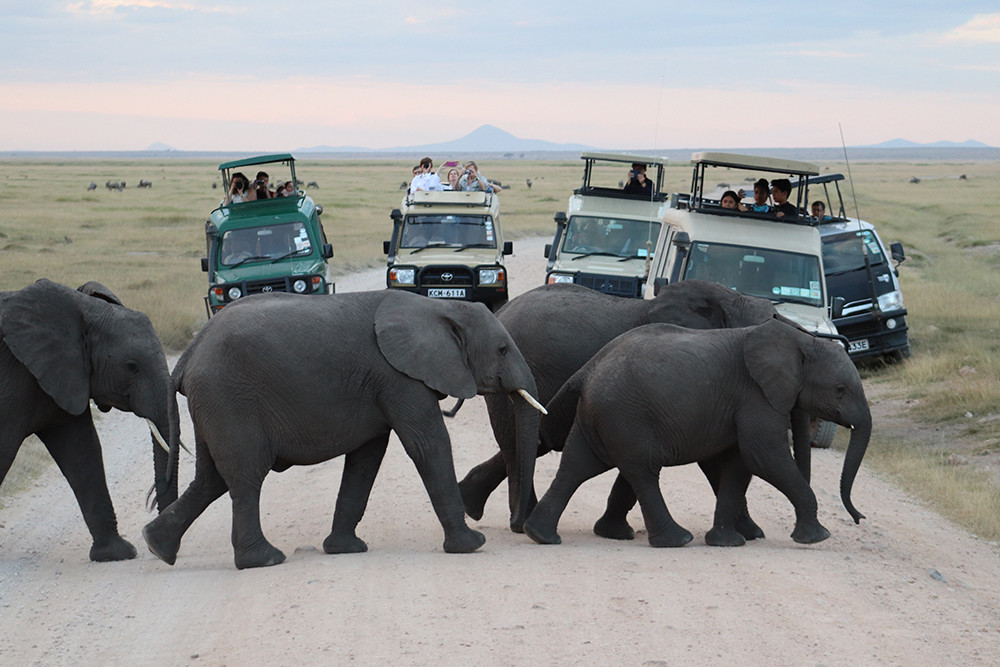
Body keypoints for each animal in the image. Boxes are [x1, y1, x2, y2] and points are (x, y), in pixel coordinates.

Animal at [0, 279, 179, 562]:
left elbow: (83, 451)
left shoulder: (66, 374)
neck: (80, 308)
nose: (153, 548)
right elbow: (4, 450)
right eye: (132, 367)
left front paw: (116, 553)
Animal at [142, 289, 545, 570]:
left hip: (213, 402)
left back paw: (157, 546)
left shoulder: (380, 385)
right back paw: (264, 560)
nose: (518, 526)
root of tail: (188, 354)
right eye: (503, 349)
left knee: (211, 478)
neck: (437, 307)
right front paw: (471, 544)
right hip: (228, 396)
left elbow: (367, 457)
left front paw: (345, 550)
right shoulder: (398, 378)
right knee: (244, 475)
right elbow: (427, 444)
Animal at [460, 280, 803, 534]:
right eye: (771, 321)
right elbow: (710, 459)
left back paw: (474, 505)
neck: (731, 299)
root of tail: (502, 311)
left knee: (531, 443)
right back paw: (518, 521)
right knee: (518, 445)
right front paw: (751, 532)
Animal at [522, 319, 871, 548]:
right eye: (840, 390)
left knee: (577, 466)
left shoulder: (740, 403)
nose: (860, 519)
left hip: (602, 415)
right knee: (643, 472)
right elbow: (763, 456)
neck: (802, 339)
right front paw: (816, 538)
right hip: (624, 414)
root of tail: (588, 368)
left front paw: (730, 541)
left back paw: (543, 536)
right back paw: (677, 539)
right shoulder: (754, 396)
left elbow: (739, 464)